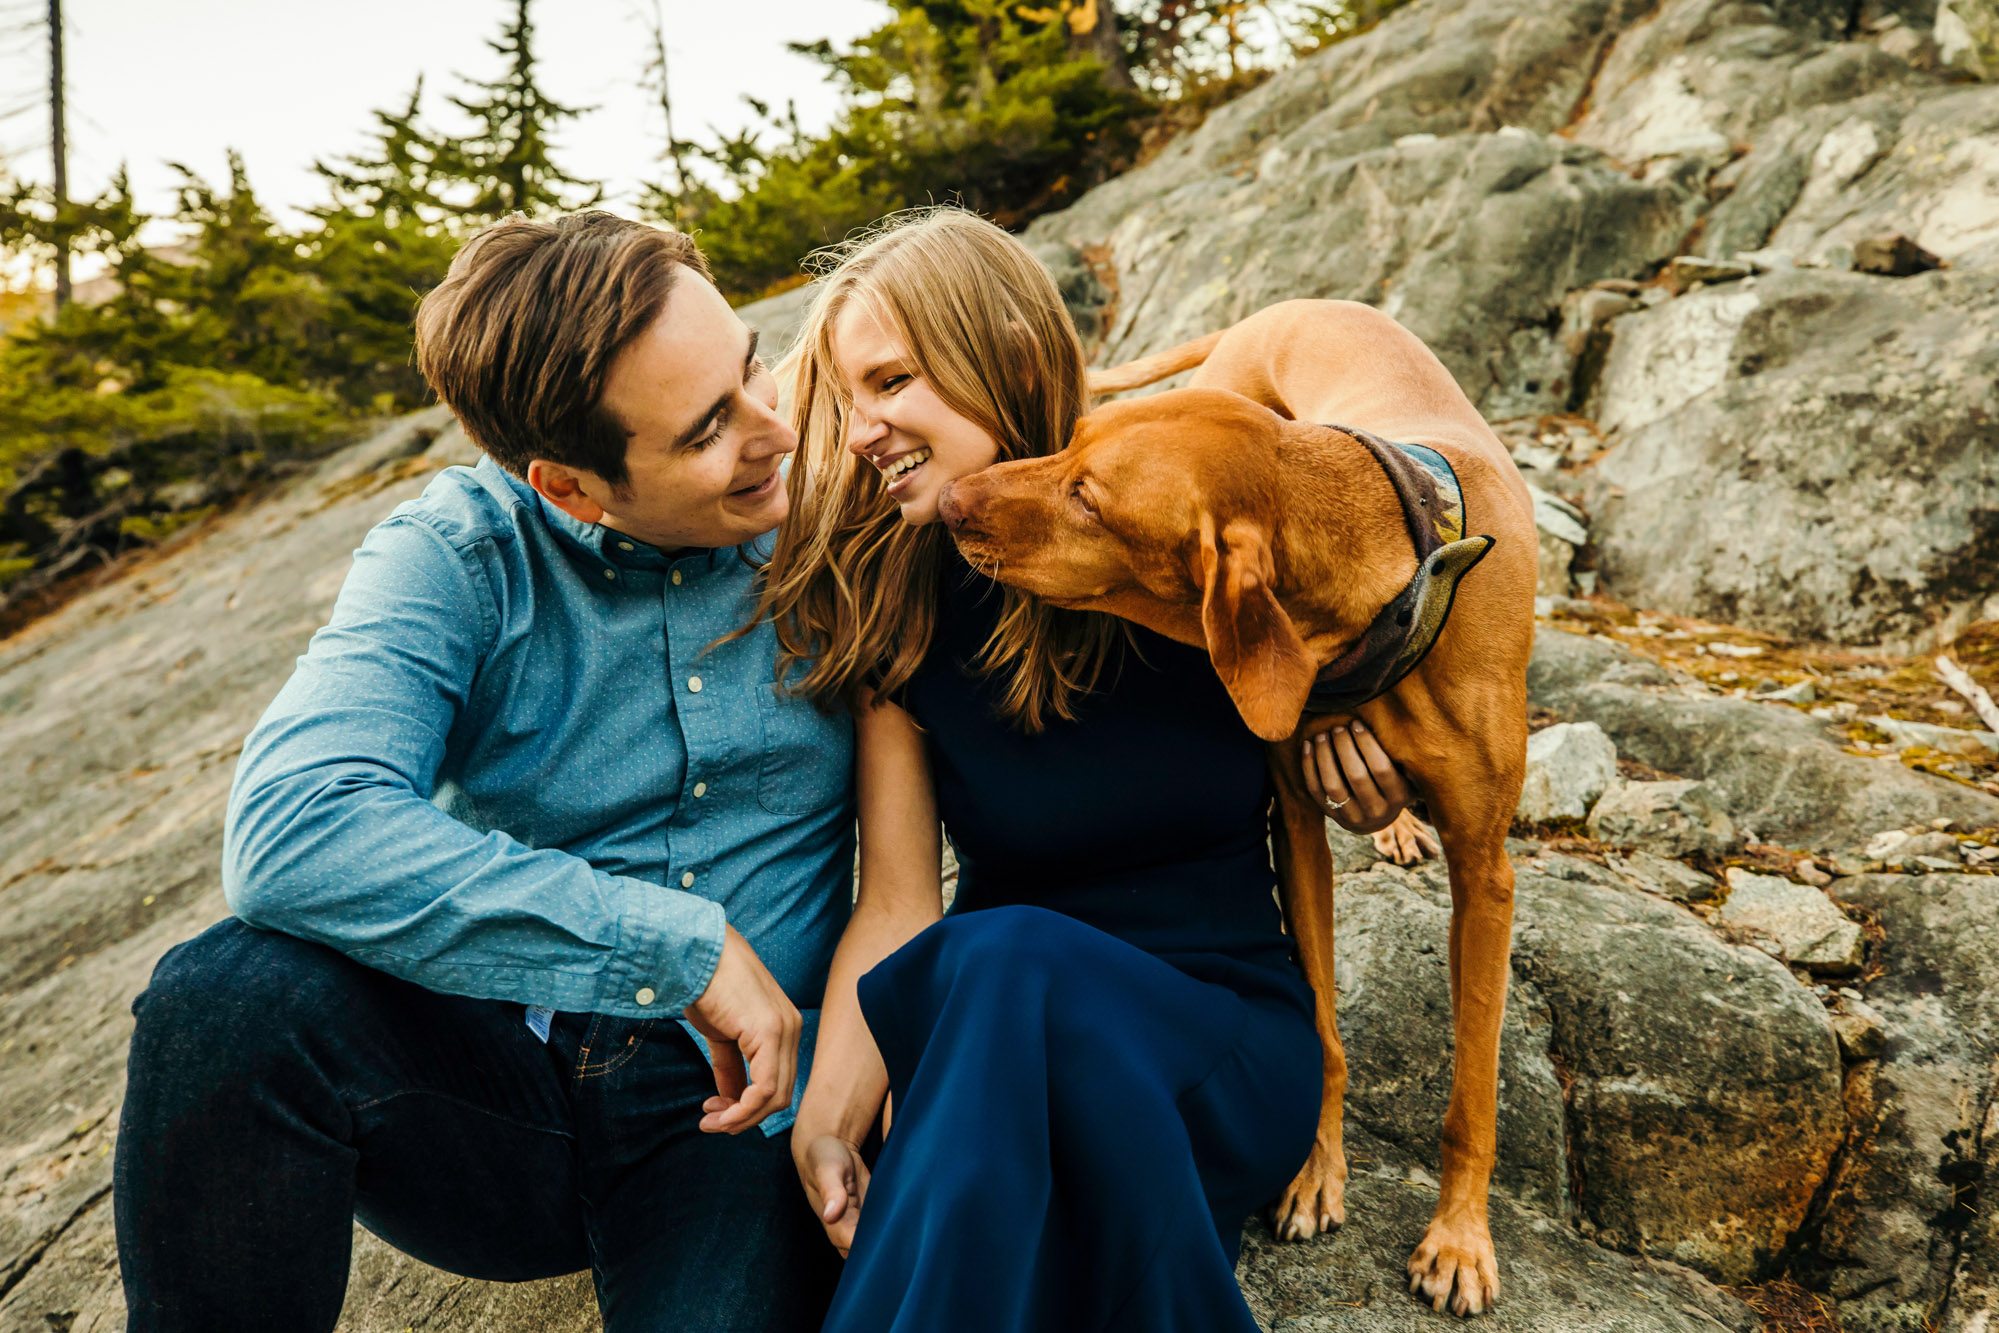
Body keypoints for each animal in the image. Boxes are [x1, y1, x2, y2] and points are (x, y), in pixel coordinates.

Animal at [935, 299, 1527, 1311]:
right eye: (1068, 440)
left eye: (1088, 498)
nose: (945, 501)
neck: (1392, 588)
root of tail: (1290, 305)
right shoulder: (1293, 821)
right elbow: (1321, 1026)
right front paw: (1314, 1172)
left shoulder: (1486, 871)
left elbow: (1473, 1086)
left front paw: (1459, 1238)